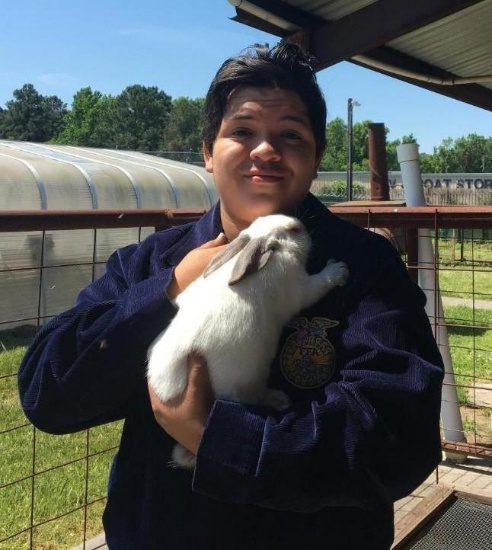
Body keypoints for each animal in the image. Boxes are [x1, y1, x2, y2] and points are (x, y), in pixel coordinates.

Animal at [147, 213, 350, 468]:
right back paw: (279, 400)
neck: (274, 253)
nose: (300, 224)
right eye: (292, 230)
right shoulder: (300, 287)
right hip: (246, 376)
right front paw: (339, 270)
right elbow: (319, 284)